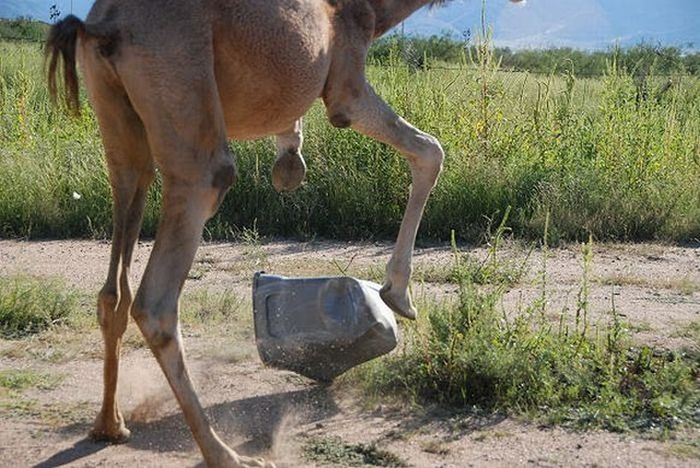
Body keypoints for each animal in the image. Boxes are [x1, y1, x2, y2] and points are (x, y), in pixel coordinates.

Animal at [47, 0, 454, 464]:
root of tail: (103, 27)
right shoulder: (345, 85)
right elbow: (430, 150)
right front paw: (397, 296)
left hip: (118, 128)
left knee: (114, 284)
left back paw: (110, 426)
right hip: (185, 104)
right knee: (156, 299)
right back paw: (225, 453)